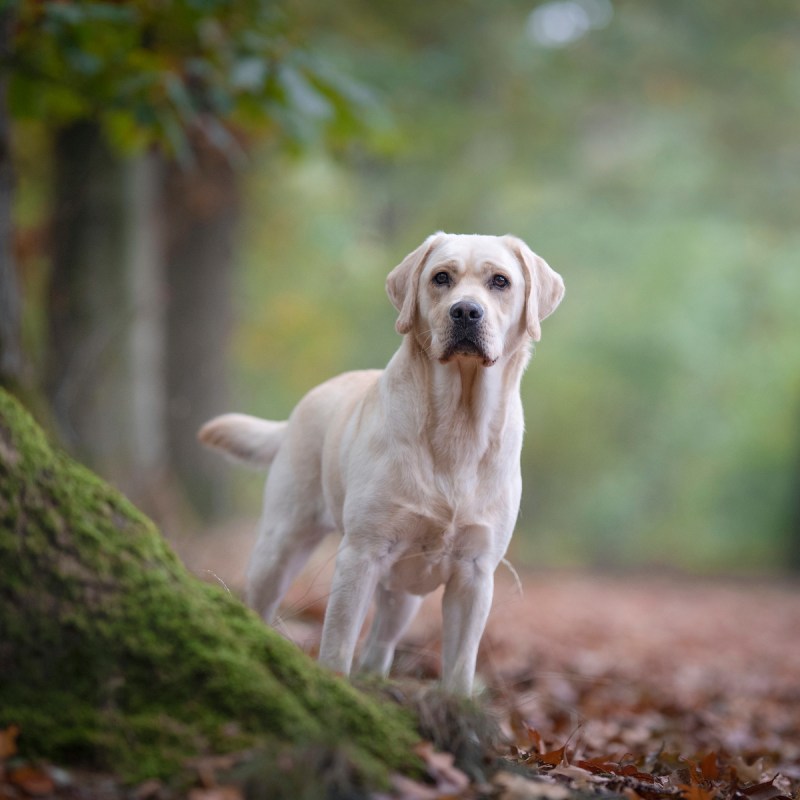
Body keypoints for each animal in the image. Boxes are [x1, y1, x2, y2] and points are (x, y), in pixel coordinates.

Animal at [199, 233, 564, 692]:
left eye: (500, 281)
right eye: (440, 278)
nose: (465, 311)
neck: (458, 426)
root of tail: (302, 406)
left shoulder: (476, 572)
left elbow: (460, 665)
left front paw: (456, 706)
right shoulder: (361, 553)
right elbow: (338, 643)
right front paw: (334, 687)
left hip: (402, 592)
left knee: (380, 647)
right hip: (280, 543)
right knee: (261, 602)